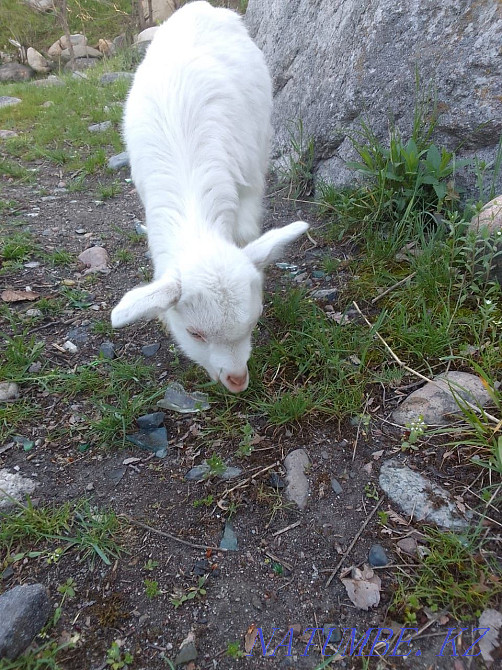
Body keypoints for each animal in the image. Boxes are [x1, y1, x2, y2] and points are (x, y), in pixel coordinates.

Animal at [111, 1, 308, 393]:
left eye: (254, 321)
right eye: (194, 333)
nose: (237, 381)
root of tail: (197, 7)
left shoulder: (250, 181)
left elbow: (246, 233)